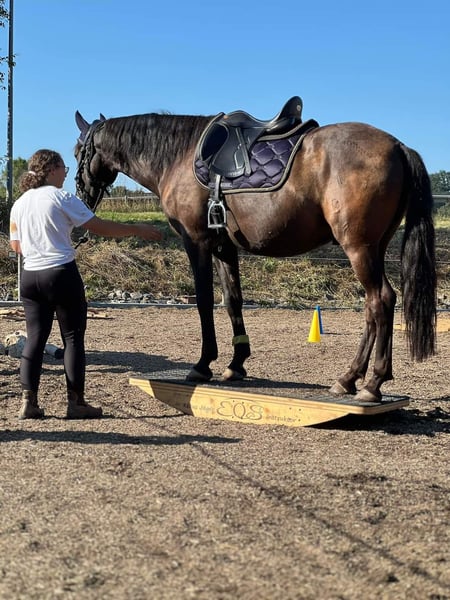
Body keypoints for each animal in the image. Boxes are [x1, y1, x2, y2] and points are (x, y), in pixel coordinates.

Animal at [74, 99, 436, 402]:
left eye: (79, 150)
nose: (81, 194)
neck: (178, 156)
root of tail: (398, 146)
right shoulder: (224, 246)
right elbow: (232, 301)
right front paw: (236, 364)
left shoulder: (197, 242)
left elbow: (204, 301)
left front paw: (202, 364)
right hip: (373, 248)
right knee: (373, 308)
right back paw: (349, 379)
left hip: (358, 248)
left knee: (380, 301)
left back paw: (371, 383)